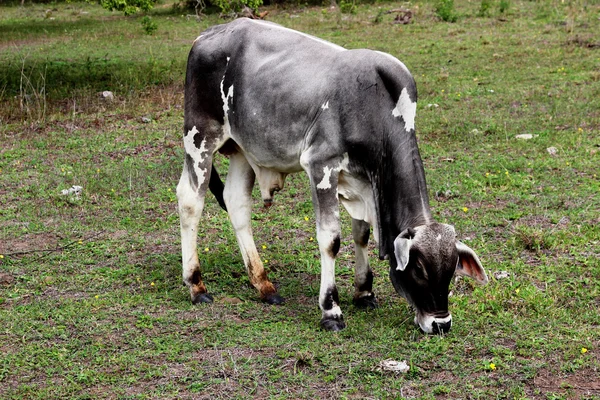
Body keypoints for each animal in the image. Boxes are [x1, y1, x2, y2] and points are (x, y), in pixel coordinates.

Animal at [175, 19, 488, 334]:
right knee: (190, 201)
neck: (373, 107)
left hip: (243, 150)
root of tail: (209, 33)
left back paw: (264, 285)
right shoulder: (321, 166)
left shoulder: (362, 181)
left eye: (452, 270)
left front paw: (364, 292)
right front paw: (331, 310)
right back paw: (196, 284)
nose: (441, 323)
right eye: (420, 269)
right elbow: (331, 240)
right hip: (200, 137)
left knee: (237, 203)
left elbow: (361, 234)